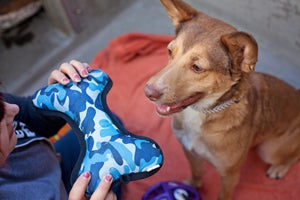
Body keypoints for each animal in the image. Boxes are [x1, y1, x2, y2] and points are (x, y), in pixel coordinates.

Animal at [144, 0, 300, 199]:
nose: (148, 92)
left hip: (269, 151)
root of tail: (297, 93)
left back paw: (280, 168)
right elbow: (197, 171)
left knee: (294, 154)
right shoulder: (188, 150)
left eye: (197, 67)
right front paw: (193, 185)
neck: (200, 113)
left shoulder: (230, 175)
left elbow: (223, 195)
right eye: (169, 51)